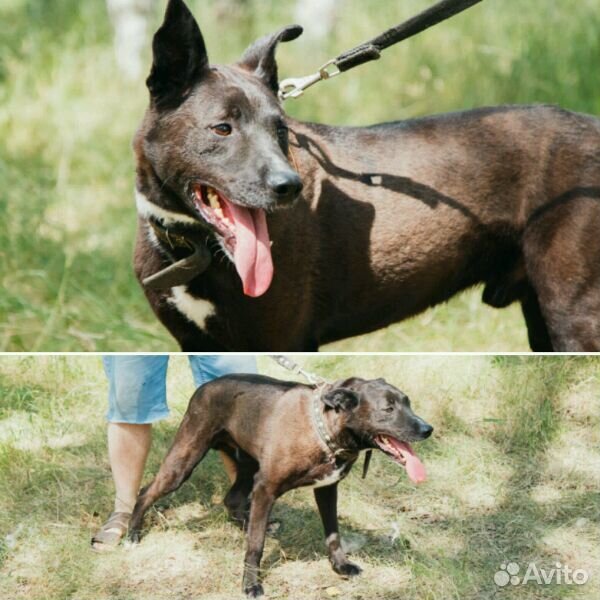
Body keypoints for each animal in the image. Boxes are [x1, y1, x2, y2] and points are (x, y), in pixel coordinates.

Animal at [129, 376, 434, 596]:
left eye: (409, 404)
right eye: (388, 409)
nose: (428, 429)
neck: (323, 428)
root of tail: (204, 386)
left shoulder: (326, 489)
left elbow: (333, 535)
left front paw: (340, 566)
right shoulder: (266, 489)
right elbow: (255, 546)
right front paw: (251, 584)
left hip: (247, 467)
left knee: (233, 500)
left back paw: (252, 522)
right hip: (184, 462)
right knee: (145, 492)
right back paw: (132, 534)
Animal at [134, 0, 600, 352]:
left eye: (280, 129)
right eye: (222, 128)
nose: (289, 187)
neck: (192, 245)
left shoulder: (285, 339)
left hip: (573, 316)